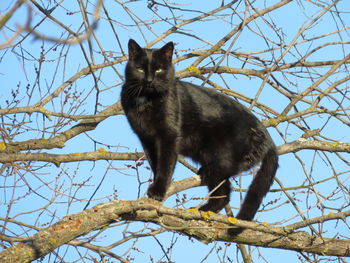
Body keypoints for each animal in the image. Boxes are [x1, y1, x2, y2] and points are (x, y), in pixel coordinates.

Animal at [121, 40, 278, 226]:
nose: (149, 80)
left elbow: (165, 164)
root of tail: (269, 140)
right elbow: (155, 163)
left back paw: (201, 210)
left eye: (158, 70)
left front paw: (158, 191)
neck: (146, 101)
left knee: (224, 192)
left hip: (218, 157)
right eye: (140, 69)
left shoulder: (169, 136)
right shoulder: (146, 139)